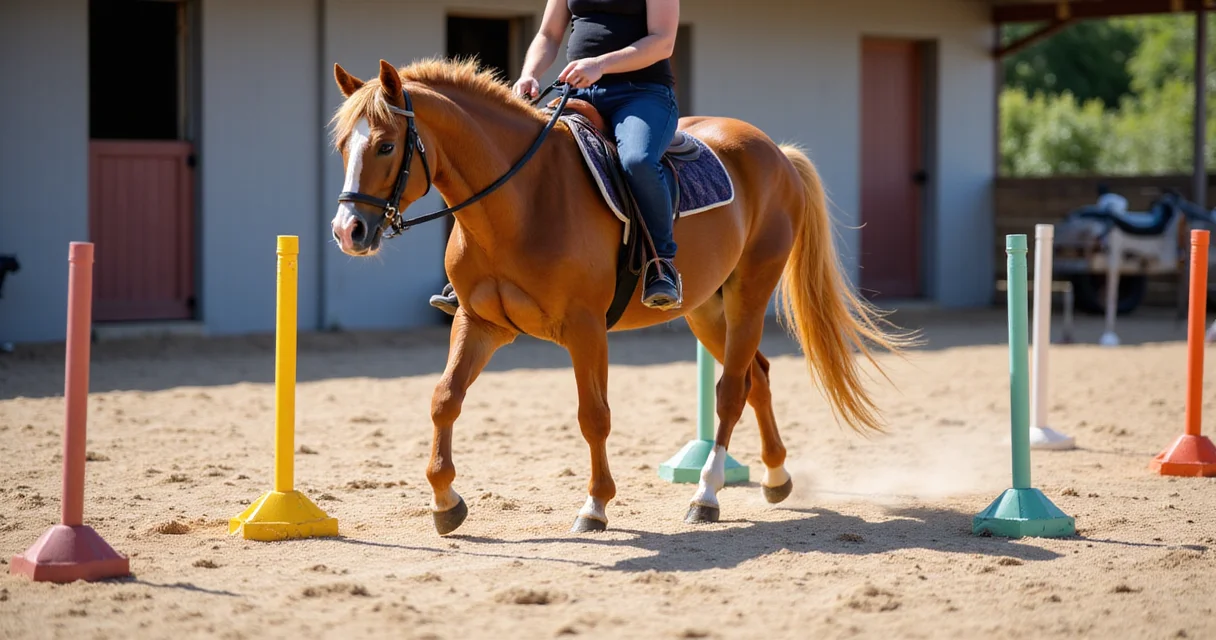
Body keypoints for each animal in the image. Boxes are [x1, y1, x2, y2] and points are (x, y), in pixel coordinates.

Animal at [327, 58, 918, 535]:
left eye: (385, 144)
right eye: (342, 147)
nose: (347, 231)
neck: (522, 200)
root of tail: (774, 150)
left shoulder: (585, 328)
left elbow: (594, 415)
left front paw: (595, 506)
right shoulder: (479, 322)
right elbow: (444, 398)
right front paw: (446, 502)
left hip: (750, 292)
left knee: (731, 390)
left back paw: (706, 494)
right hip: (707, 307)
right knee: (757, 378)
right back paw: (775, 476)